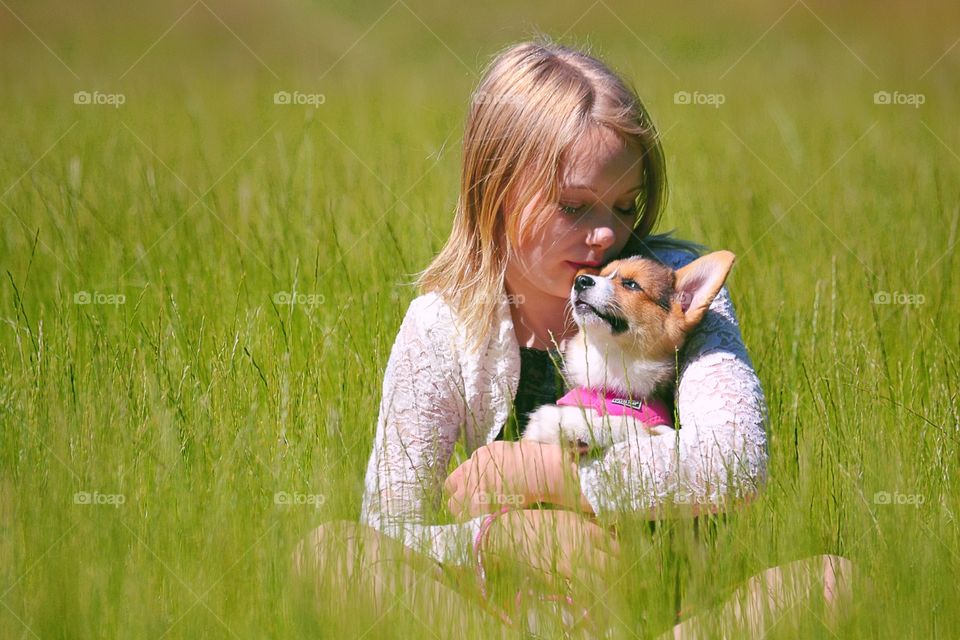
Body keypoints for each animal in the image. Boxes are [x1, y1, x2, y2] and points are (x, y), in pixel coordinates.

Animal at [524, 250, 736, 450]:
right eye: (603, 275)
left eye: (631, 284)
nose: (581, 280)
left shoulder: (662, 430)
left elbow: (628, 424)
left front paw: (575, 427)